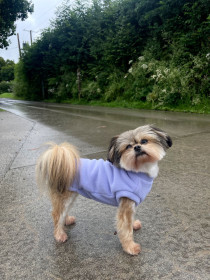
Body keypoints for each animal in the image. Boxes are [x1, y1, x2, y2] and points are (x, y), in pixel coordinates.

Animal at [36, 126, 172, 255]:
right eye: (128, 146)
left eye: (144, 141)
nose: (137, 147)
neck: (137, 171)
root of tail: (58, 161)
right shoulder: (126, 204)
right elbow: (125, 228)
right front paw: (130, 247)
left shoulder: (131, 204)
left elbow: (130, 221)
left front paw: (134, 225)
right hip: (64, 196)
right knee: (57, 214)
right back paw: (59, 234)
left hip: (71, 195)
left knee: (64, 211)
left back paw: (67, 220)